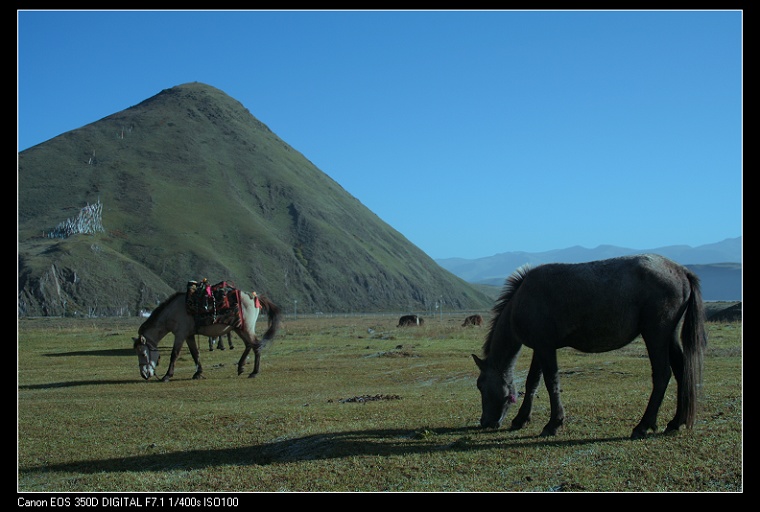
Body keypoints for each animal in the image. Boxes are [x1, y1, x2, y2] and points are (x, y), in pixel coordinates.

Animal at [134, 288, 282, 380]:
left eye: (143, 354)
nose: (144, 375)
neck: (172, 312)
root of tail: (254, 296)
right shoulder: (189, 335)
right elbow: (195, 353)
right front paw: (198, 373)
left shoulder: (180, 334)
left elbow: (174, 354)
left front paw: (167, 376)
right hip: (239, 328)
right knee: (248, 345)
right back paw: (240, 367)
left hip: (247, 328)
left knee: (256, 345)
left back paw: (254, 372)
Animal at [472, 255, 708, 440]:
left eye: (480, 385)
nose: (485, 422)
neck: (522, 298)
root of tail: (681, 271)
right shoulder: (540, 348)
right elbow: (532, 383)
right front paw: (521, 419)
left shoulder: (545, 347)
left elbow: (551, 382)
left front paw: (553, 423)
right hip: (670, 336)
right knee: (681, 371)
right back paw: (675, 422)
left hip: (655, 334)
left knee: (662, 375)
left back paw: (642, 426)